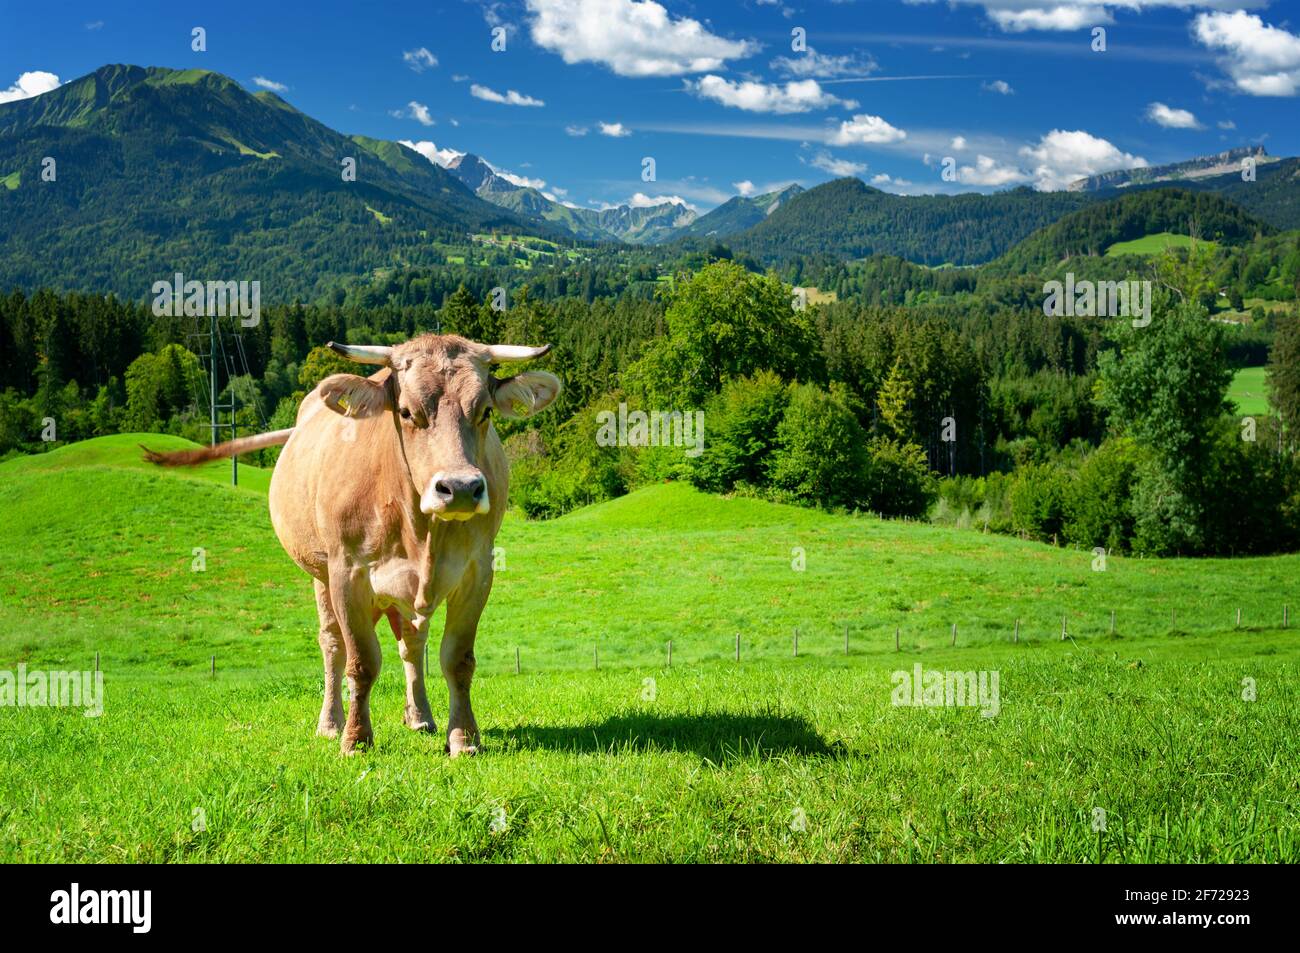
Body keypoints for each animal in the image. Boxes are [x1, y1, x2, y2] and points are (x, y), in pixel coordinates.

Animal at [144, 332, 561, 748]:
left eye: (485, 412)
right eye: (407, 412)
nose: (459, 489)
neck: (419, 529)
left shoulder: (477, 571)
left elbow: (457, 658)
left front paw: (463, 738)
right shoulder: (347, 572)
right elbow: (361, 660)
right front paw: (356, 739)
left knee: (411, 643)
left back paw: (420, 717)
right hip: (321, 575)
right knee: (333, 644)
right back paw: (331, 722)